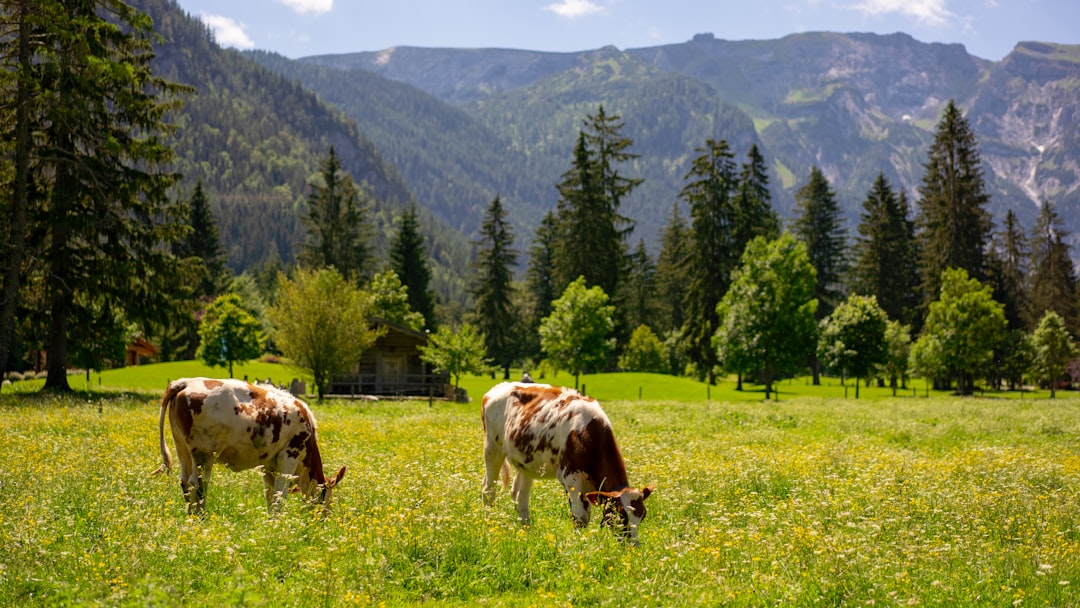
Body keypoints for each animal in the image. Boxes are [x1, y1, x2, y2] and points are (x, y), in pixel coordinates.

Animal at [152, 380, 343, 514]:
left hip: (182, 450)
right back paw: (201, 517)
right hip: (203, 453)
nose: (323, 519)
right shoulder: (289, 456)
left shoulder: (268, 465)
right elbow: (279, 495)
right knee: (197, 485)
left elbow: (270, 495)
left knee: (185, 483)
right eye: (326, 497)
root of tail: (185, 382)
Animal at [483, 382, 656, 544]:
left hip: (526, 462)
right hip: (492, 449)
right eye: (621, 514)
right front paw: (579, 545)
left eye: (642, 515)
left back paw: (527, 533)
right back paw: (488, 526)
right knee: (488, 491)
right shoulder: (571, 478)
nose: (634, 546)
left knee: (520, 498)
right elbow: (580, 517)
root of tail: (499, 387)